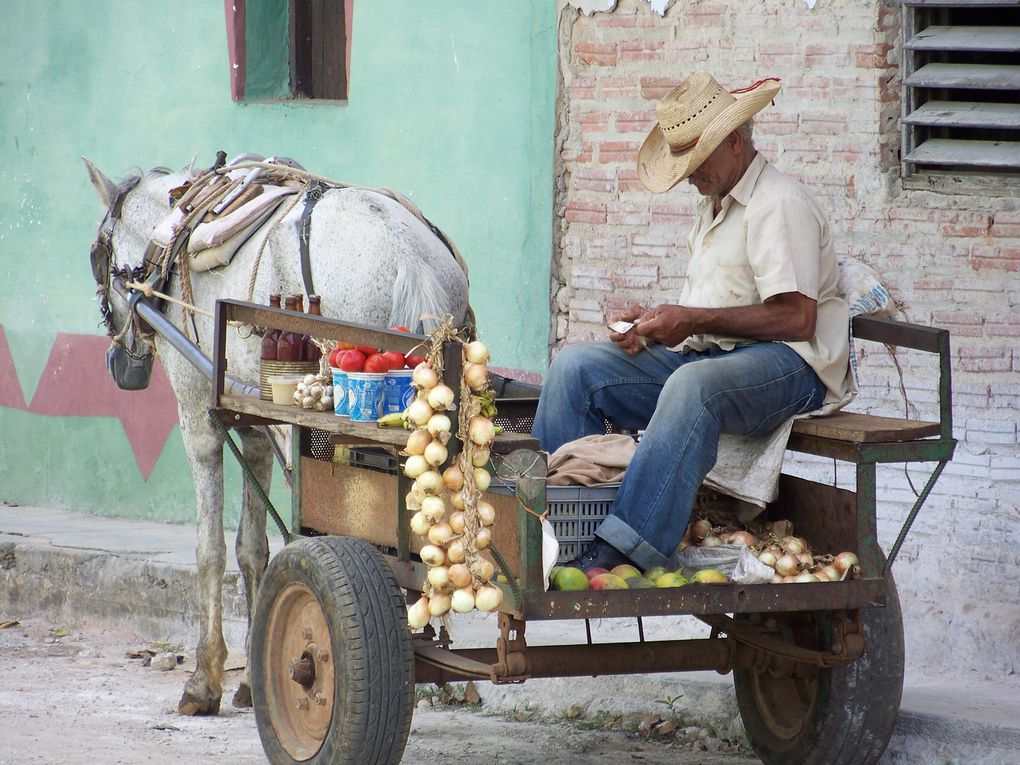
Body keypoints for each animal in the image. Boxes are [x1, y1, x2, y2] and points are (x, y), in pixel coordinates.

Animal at [87, 153, 469, 718]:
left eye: (98, 258)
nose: (121, 366)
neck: (170, 234)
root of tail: (410, 257)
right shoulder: (254, 419)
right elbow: (252, 548)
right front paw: (250, 677)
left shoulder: (198, 412)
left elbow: (210, 549)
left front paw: (205, 681)